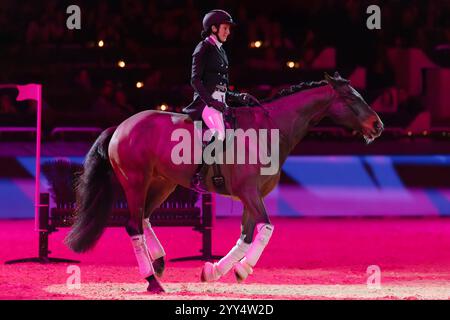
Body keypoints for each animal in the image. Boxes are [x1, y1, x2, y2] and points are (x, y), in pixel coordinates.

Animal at [65, 72, 384, 292]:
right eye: (351, 99)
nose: (378, 126)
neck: (268, 131)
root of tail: (121, 126)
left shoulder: (251, 197)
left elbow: (246, 237)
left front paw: (216, 271)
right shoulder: (249, 193)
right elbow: (267, 229)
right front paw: (242, 269)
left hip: (162, 184)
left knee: (144, 219)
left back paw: (159, 262)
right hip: (136, 183)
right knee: (133, 225)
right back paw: (152, 281)